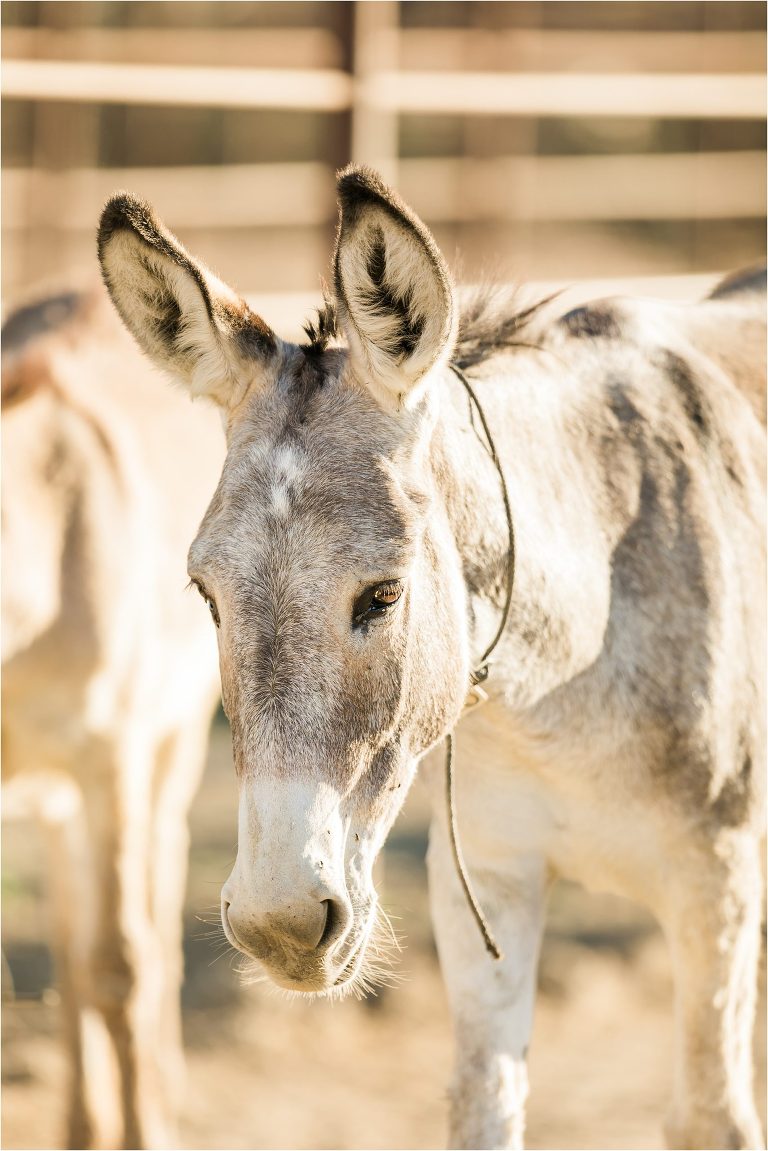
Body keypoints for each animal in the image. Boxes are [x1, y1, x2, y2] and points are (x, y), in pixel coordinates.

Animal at [2, 287, 224, 1148]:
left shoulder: (112, 754)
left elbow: (121, 965)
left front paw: (146, 1129)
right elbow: (76, 957)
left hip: (172, 737)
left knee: (156, 903)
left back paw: (165, 1090)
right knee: (70, 939)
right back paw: (81, 1123)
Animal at [97, 165, 765, 1150]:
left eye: (384, 594)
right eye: (204, 595)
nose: (280, 927)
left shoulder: (717, 881)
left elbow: (715, 1115)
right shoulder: (484, 875)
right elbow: (481, 1104)